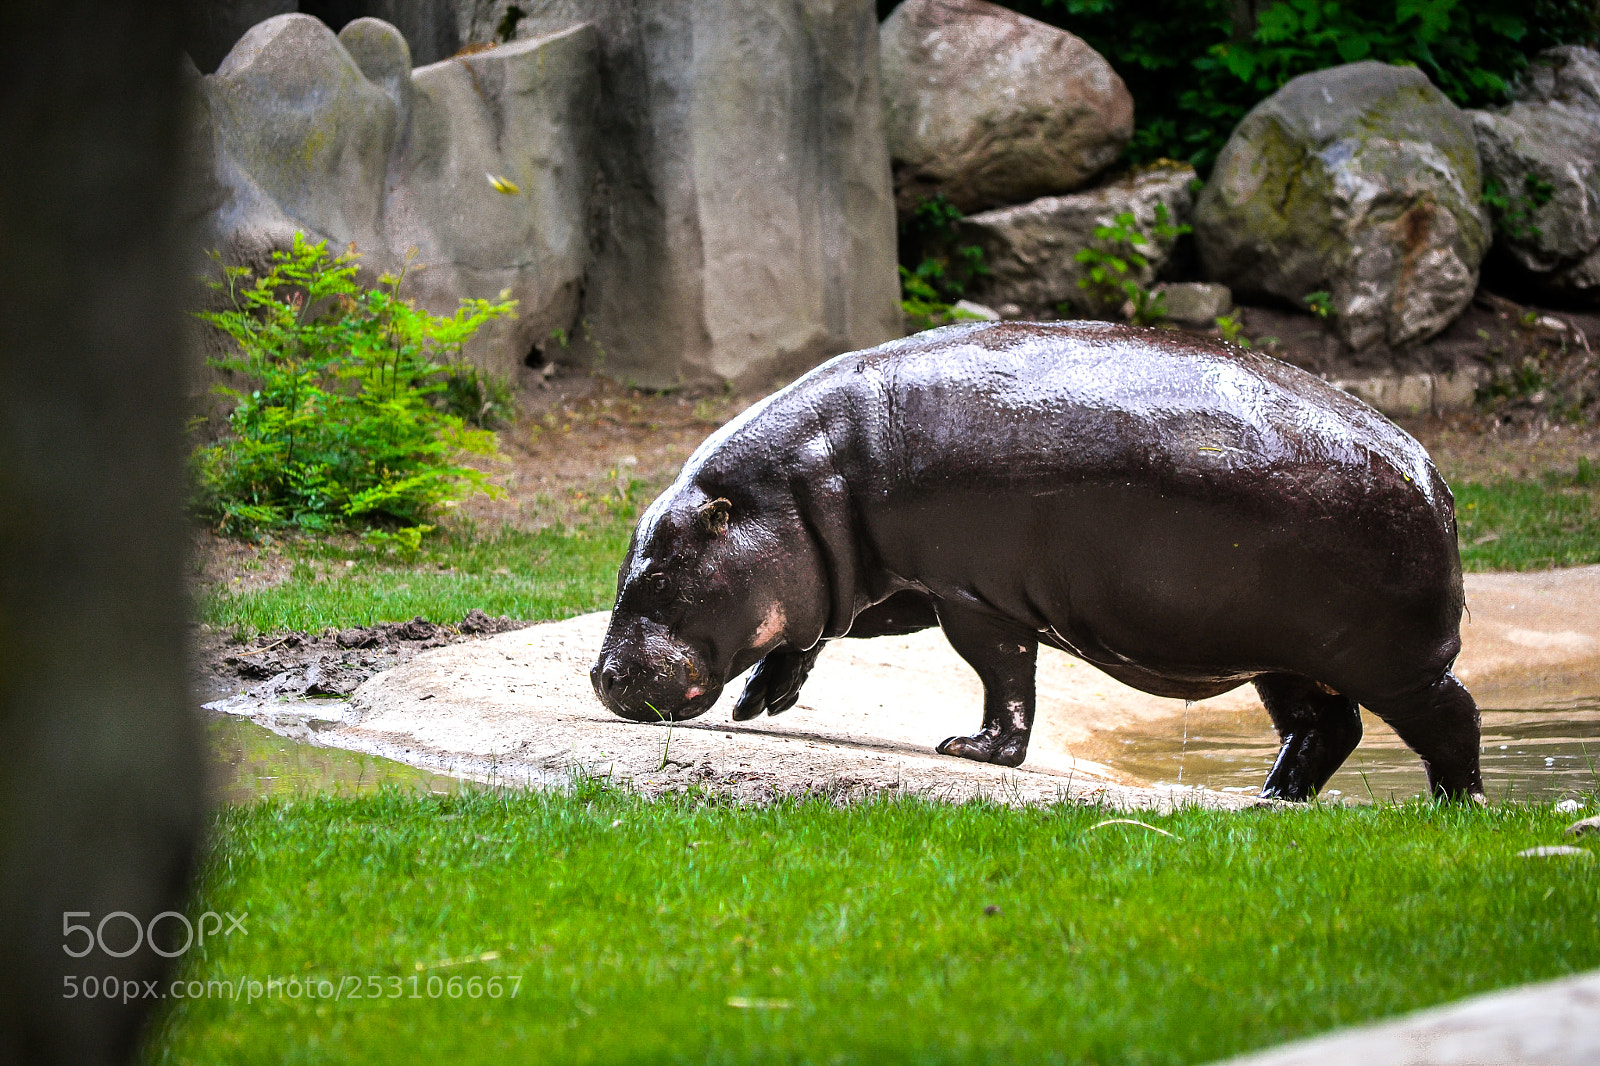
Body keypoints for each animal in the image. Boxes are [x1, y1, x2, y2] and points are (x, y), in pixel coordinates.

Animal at [592, 322, 1484, 800]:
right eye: (629, 561)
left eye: (663, 573)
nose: (601, 676)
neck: (809, 478)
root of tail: (1435, 477)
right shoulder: (887, 579)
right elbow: (825, 629)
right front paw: (760, 701)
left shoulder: (970, 593)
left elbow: (1001, 674)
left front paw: (972, 752)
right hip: (1284, 652)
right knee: (1325, 726)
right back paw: (1270, 801)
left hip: (1389, 659)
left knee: (1450, 715)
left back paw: (1457, 807)